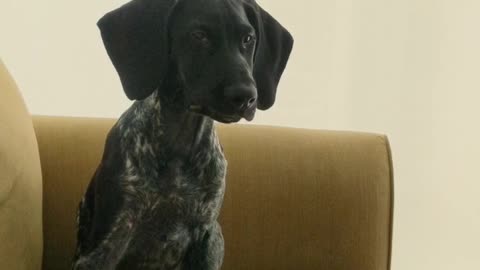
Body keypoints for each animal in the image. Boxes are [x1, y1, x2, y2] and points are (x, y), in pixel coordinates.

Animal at [72, 0, 292, 268]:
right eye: (198, 35)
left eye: (248, 39)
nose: (246, 97)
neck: (180, 141)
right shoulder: (107, 243)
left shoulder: (206, 235)